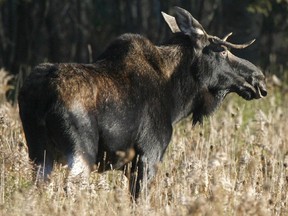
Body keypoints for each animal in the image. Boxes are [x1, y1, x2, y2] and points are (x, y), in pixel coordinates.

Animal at [18, 6, 266, 198]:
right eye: (222, 51)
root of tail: (41, 95)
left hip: (39, 152)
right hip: (80, 150)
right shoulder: (148, 155)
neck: (177, 99)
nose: (259, 78)